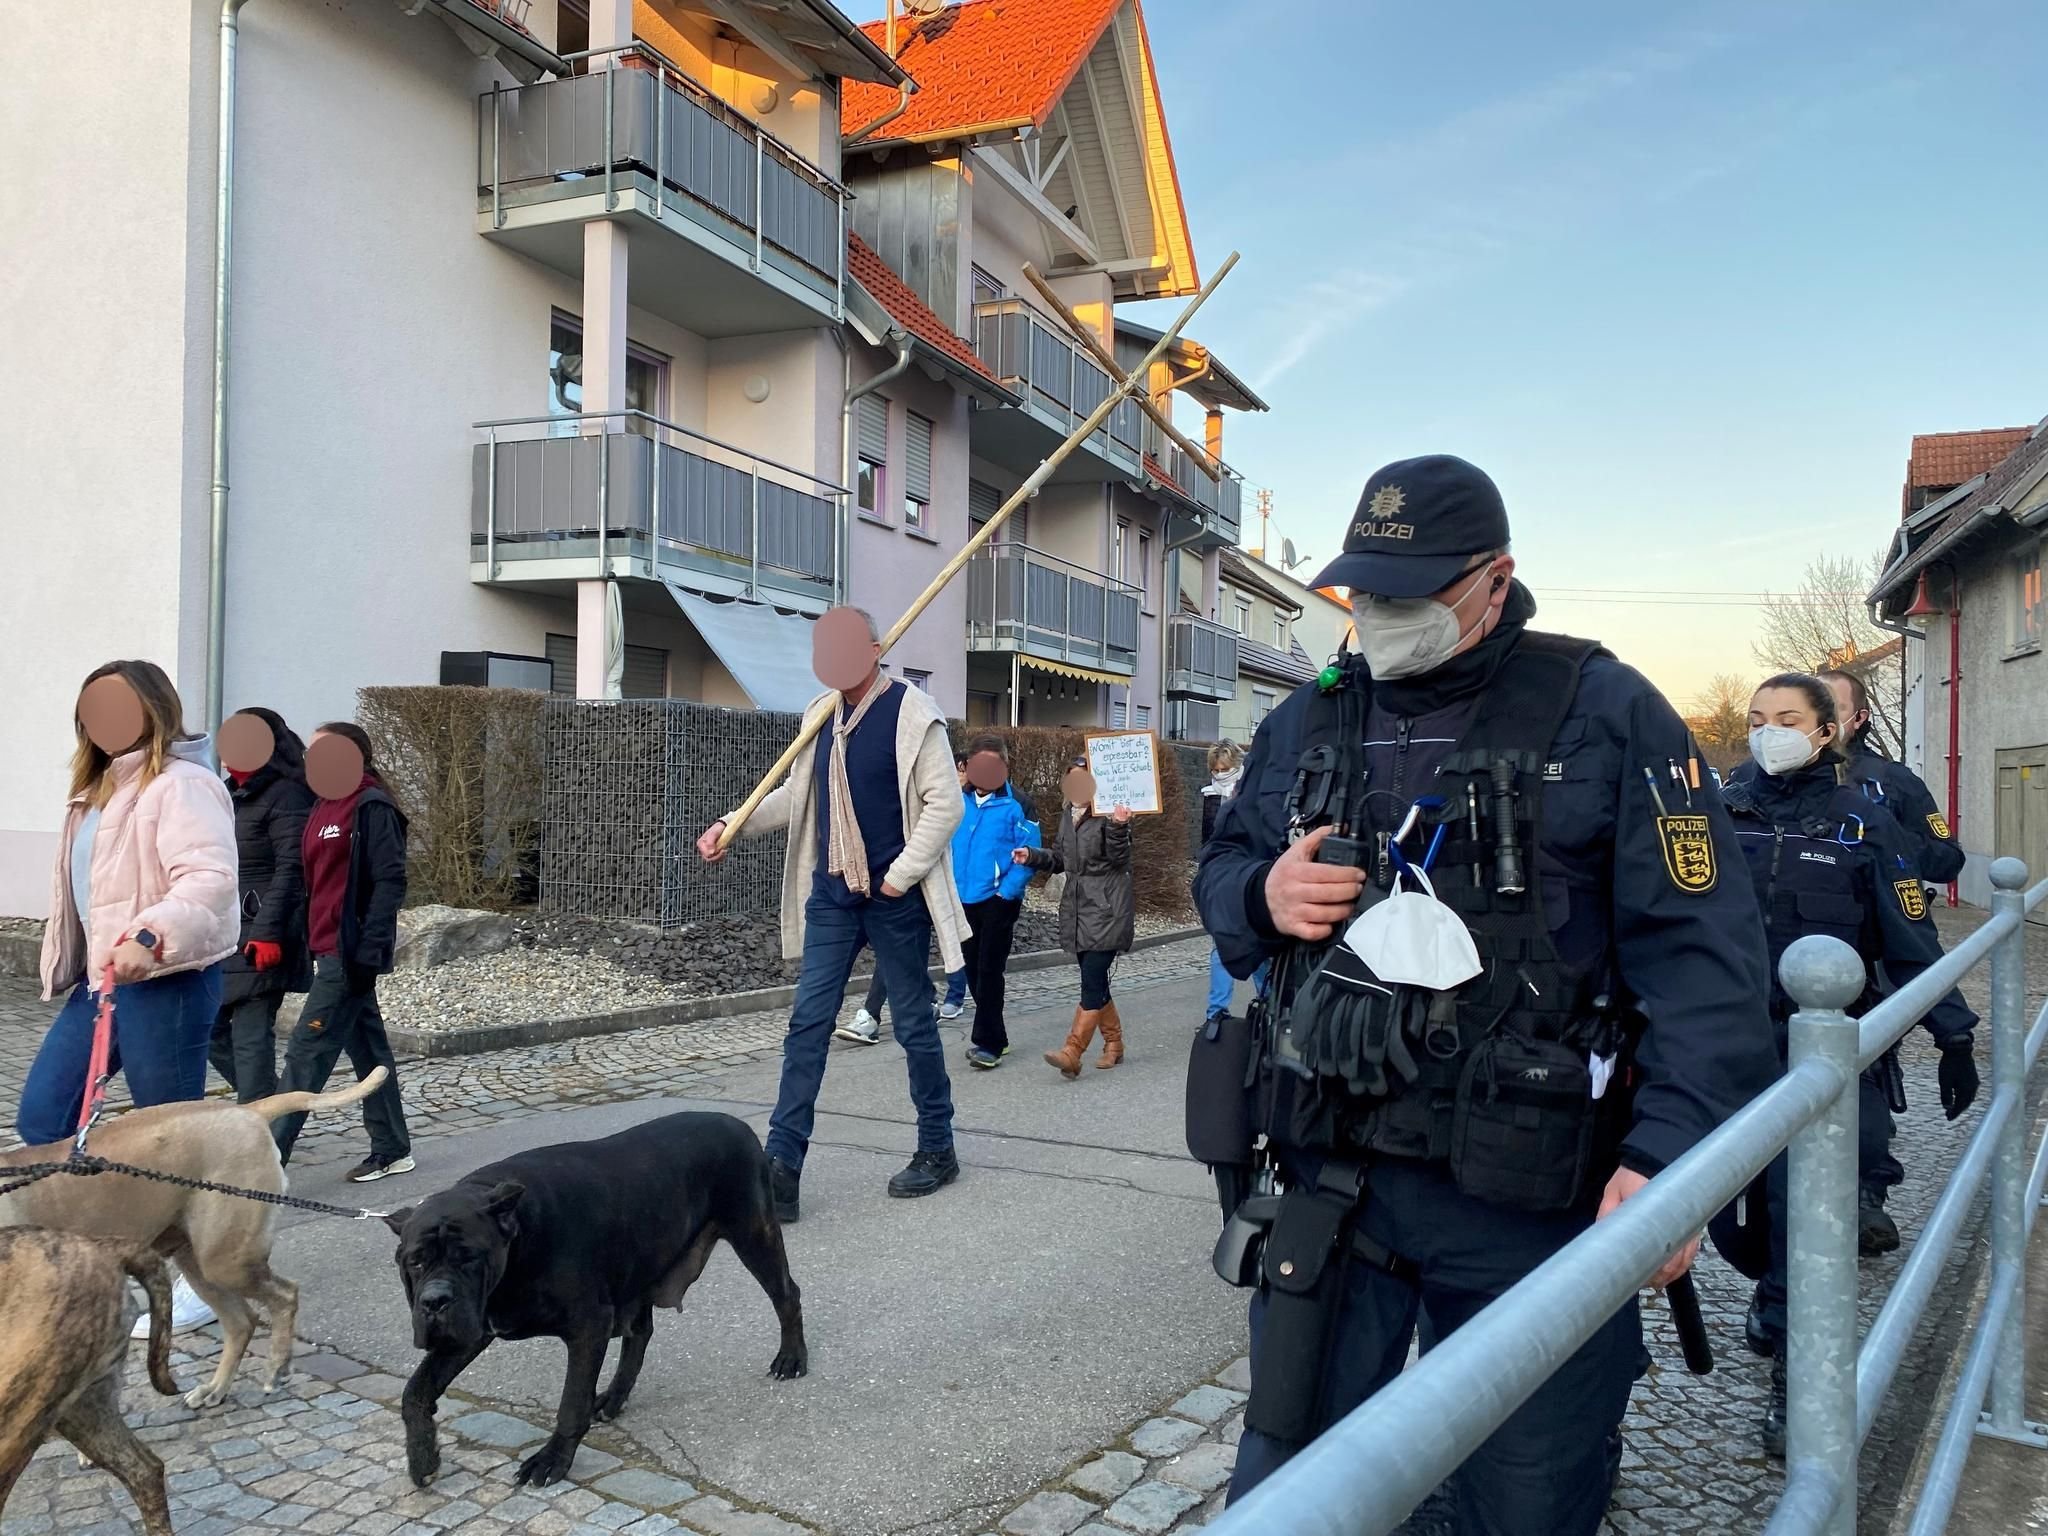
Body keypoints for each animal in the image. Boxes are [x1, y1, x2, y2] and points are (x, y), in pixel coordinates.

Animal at [0, 1073, 389, 1417]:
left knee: (284, 1295)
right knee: (241, 1322)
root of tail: (248, 1111)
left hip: (225, 1259)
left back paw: (276, 1368)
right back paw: (216, 1389)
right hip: (196, 1259)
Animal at [385, 1122, 806, 1490]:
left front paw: (552, 1459)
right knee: (640, 1334)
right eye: (415, 1261)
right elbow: (416, 1389)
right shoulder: (471, 1328)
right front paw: (422, 1456)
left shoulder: (588, 1325)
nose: (435, 1301)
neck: (518, 1238)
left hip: (754, 1236)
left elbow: (571, 1402)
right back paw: (614, 1397)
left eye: (469, 1257)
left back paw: (791, 1357)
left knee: (787, 1296)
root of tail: (739, 1125)